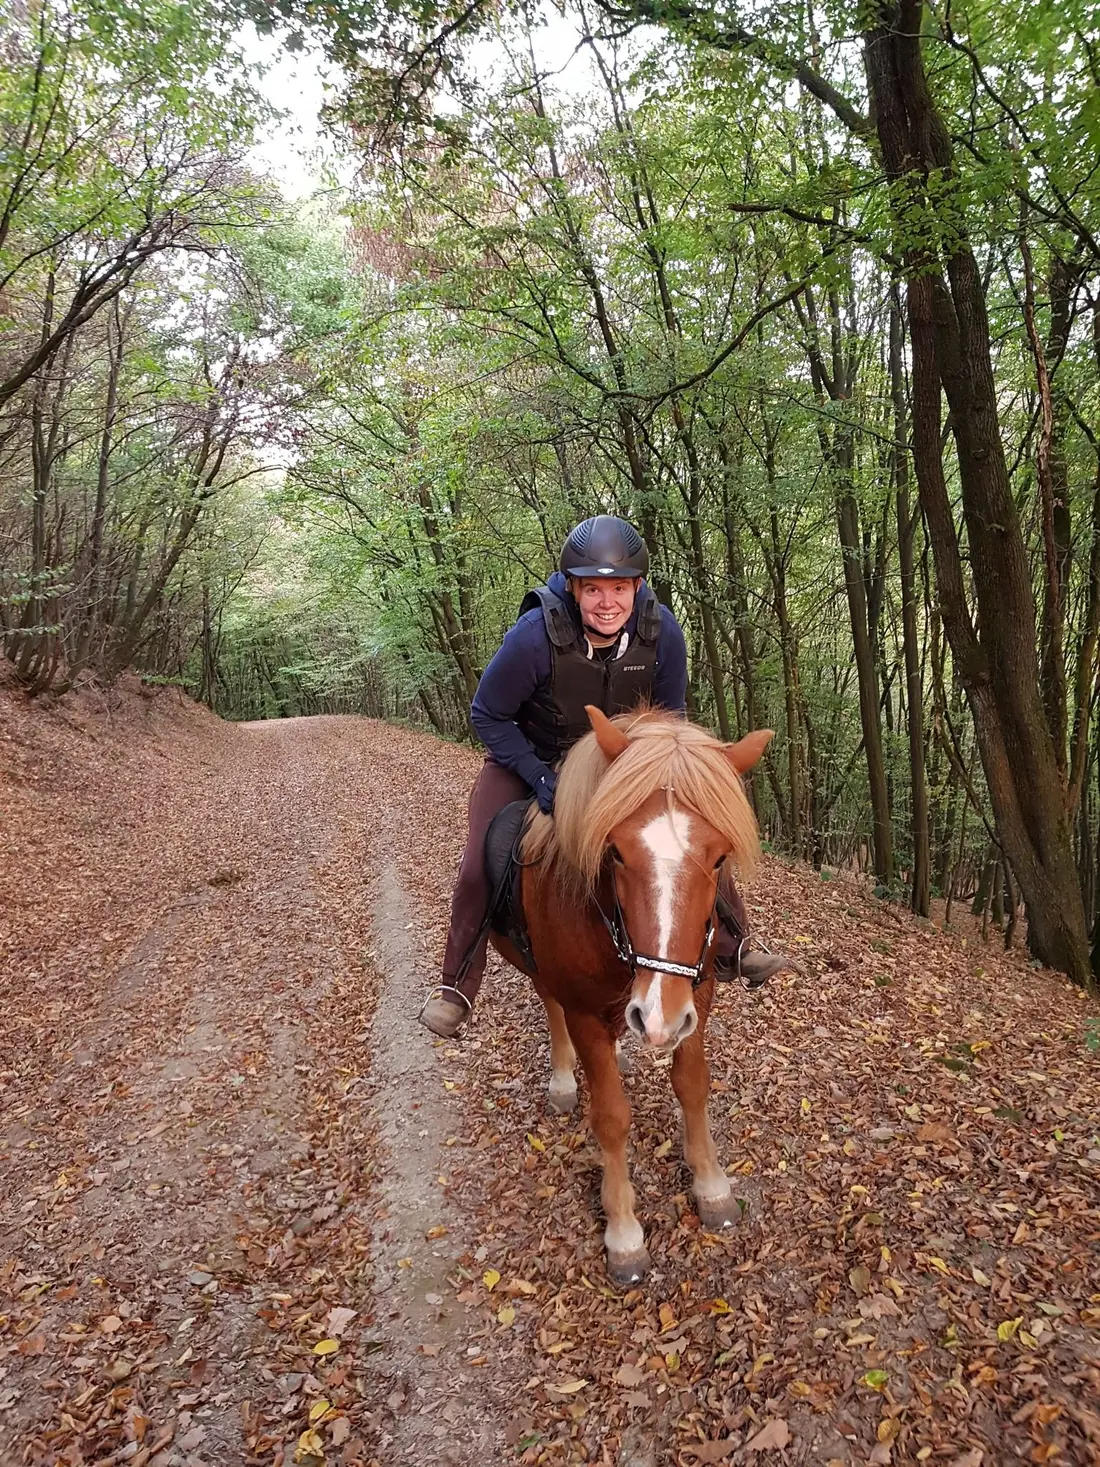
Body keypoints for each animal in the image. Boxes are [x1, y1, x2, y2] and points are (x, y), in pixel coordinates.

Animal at [489, 704, 772, 1285]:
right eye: (615, 852)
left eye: (719, 859)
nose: (657, 1018)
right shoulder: (583, 1009)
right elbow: (611, 1117)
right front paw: (623, 1232)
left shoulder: (696, 996)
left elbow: (692, 1085)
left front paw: (711, 1186)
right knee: (549, 1004)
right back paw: (563, 1079)